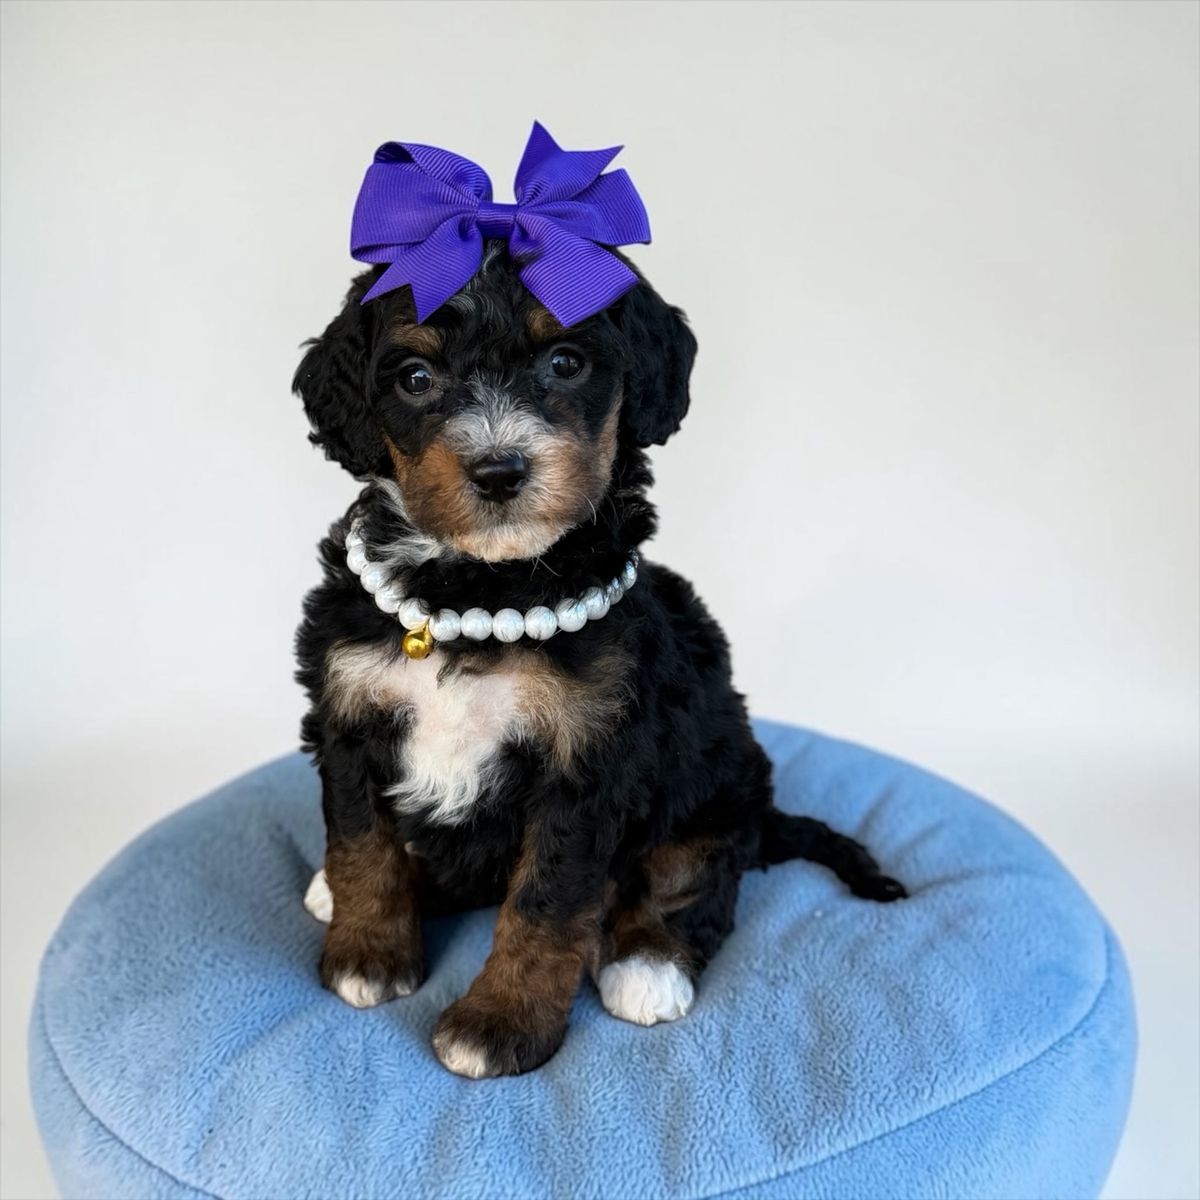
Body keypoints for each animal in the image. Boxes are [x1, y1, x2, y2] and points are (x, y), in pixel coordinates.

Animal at [292, 245, 905, 1079]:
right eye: (414, 378)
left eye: (565, 362)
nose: (499, 472)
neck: (480, 591)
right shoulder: (349, 706)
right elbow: (361, 842)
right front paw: (369, 953)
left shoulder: (587, 757)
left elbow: (545, 902)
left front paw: (501, 1023)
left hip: (716, 781)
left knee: (691, 877)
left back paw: (647, 964)